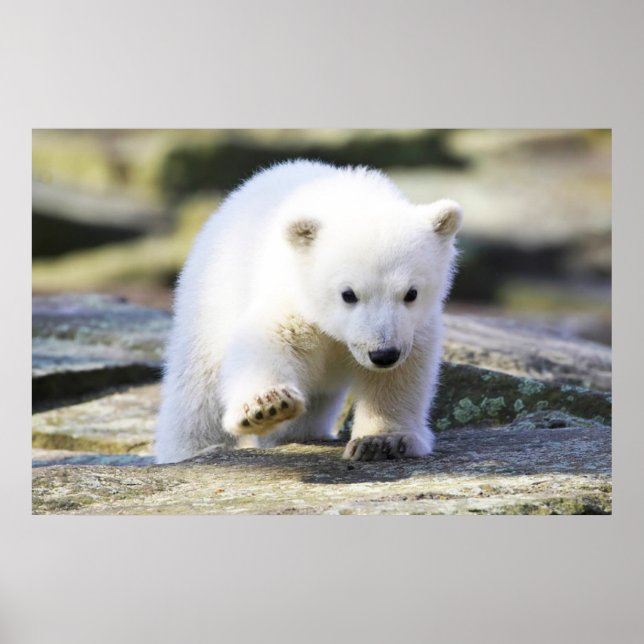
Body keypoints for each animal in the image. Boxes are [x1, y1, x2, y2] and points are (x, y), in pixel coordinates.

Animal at [155, 159, 462, 463]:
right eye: (348, 294)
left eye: (411, 293)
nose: (383, 354)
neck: (351, 199)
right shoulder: (293, 294)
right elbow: (268, 340)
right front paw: (267, 406)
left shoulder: (413, 328)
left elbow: (400, 375)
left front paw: (382, 441)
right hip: (211, 296)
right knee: (197, 388)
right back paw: (195, 449)